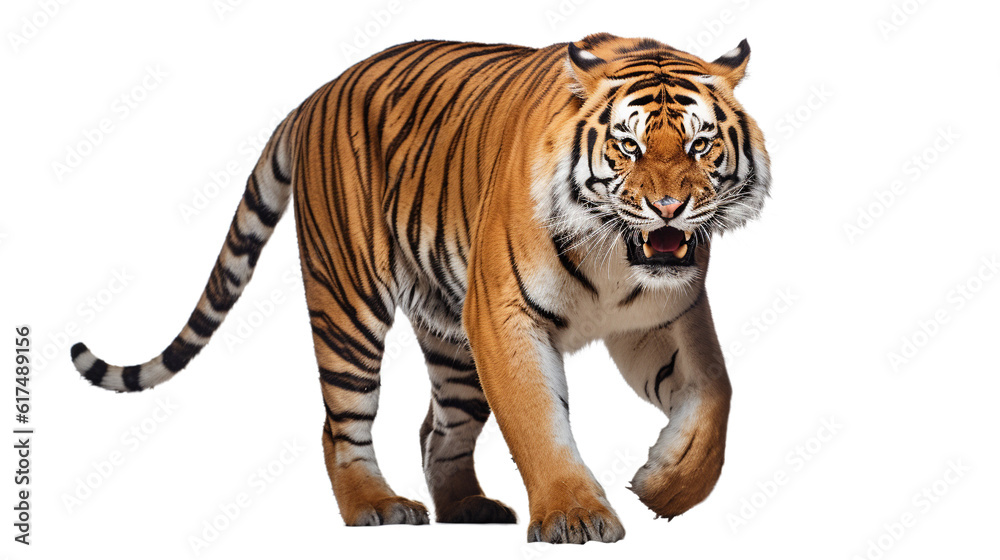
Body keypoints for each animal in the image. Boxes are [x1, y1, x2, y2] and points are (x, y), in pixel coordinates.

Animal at [71, 32, 770, 544]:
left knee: (438, 431)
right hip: (348, 305)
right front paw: (575, 515)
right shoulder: (506, 317)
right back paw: (375, 506)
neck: (617, 259)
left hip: (453, 337)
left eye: (701, 146)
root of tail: (317, 93)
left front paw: (665, 485)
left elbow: (716, 393)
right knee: (341, 426)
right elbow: (538, 421)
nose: (669, 208)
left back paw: (468, 507)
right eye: (627, 147)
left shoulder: (664, 315)